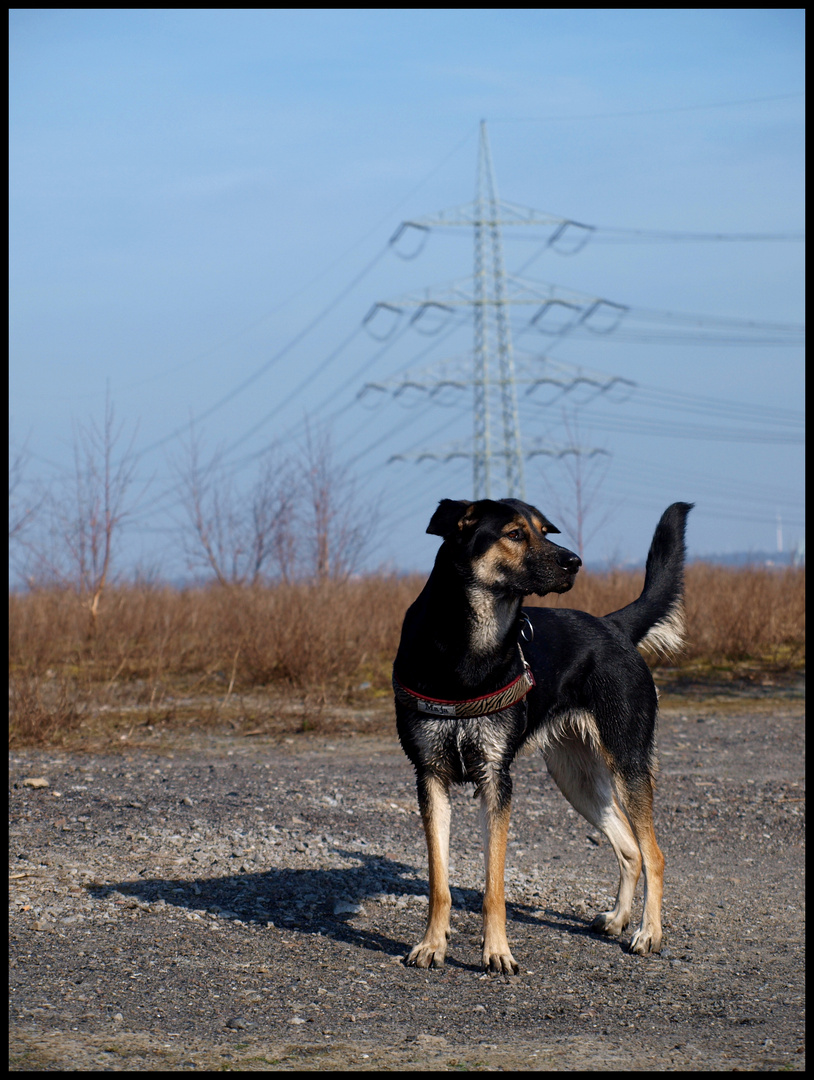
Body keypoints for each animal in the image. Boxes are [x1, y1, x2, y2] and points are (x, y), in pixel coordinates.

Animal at [390, 496, 686, 980]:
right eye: (514, 534)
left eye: (545, 531)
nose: (575, 562)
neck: (469, 646)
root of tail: (614, 627)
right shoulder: (430, 776)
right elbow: (439, 882)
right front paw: (432, 944)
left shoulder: (496, 779)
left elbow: (493, 885)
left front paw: (497, 952)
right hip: (575, 778)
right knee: (630, 849)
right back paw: (618, 919)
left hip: (627, 761)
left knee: (654, 853)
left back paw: (648, 934)